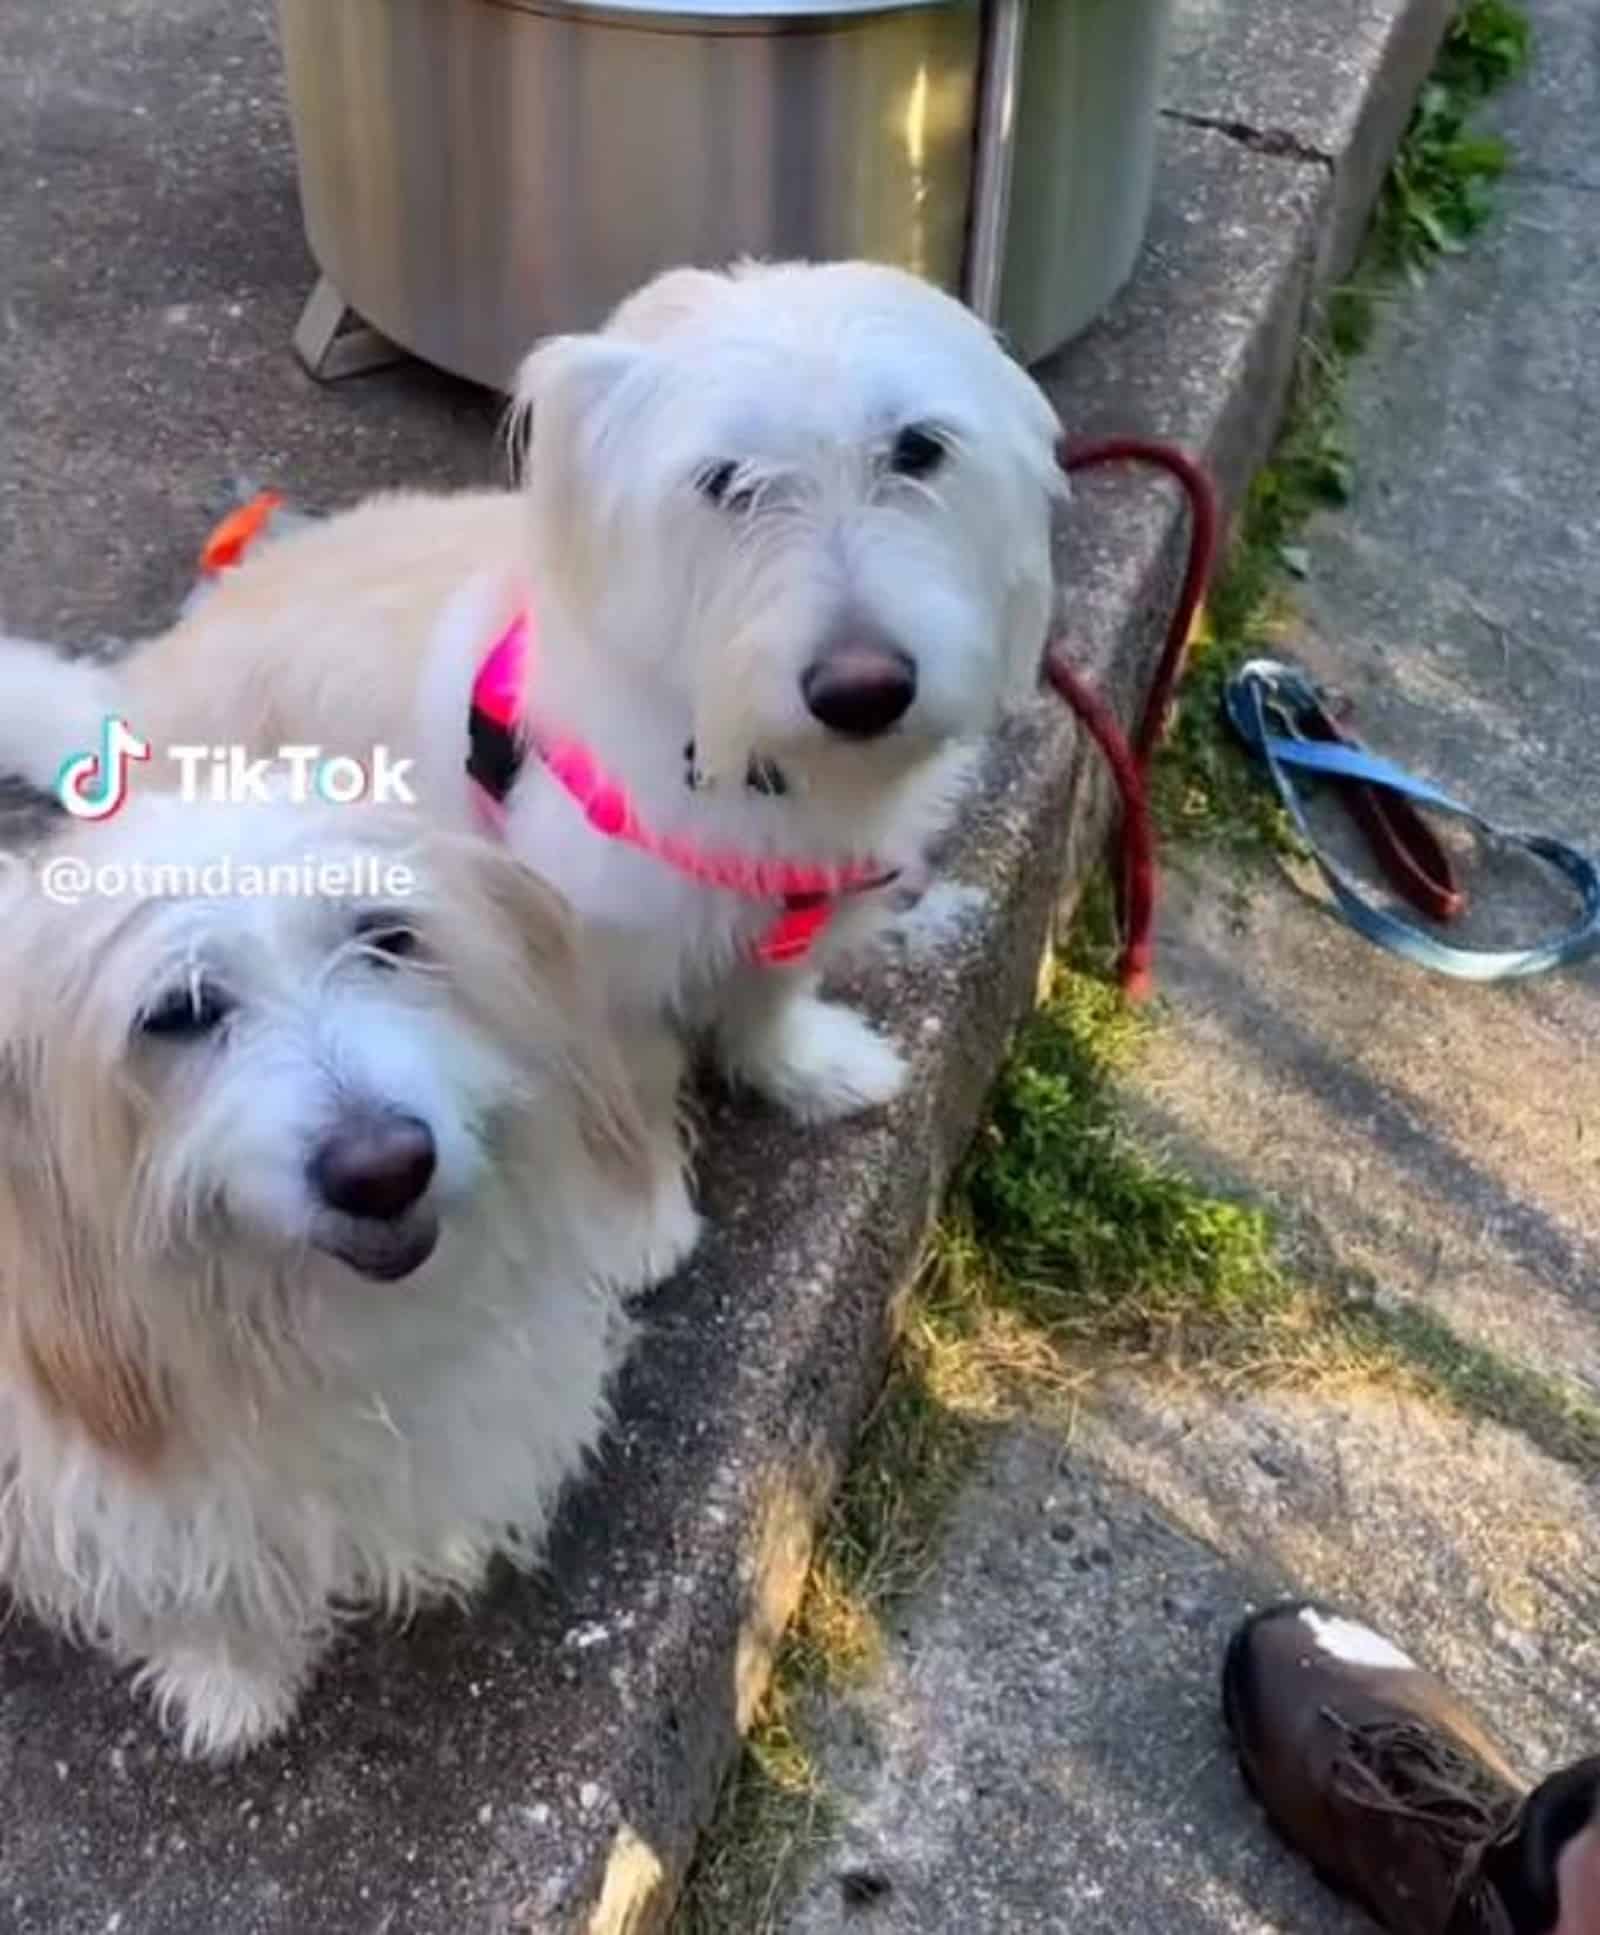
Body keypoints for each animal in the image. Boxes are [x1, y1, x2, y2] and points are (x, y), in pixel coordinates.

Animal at [0, 261, 1067, 1238]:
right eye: (724, 481)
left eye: (919, 449)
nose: (862, 691)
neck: (735, 750)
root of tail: (123, 707)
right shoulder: (588, 970)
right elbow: (636, 1096)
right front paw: (643, 1225)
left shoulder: (801, 899)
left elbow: (770, 997)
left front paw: (808, 1068)